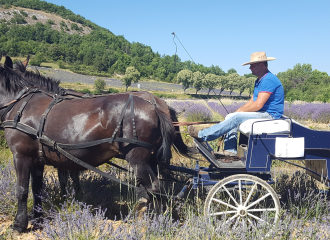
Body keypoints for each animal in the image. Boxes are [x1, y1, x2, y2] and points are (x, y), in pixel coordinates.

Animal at [0, 54, 192, 232]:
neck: (22, 104)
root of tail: (156, 106)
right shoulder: (38, 160)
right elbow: (37, 189)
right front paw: (38, 219)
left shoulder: (21, 156)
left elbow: (22, 190)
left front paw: (19, 224)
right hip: (150, 160)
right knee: (151, 191)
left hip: (138, 160)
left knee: (154, 187)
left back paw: (156, 224)